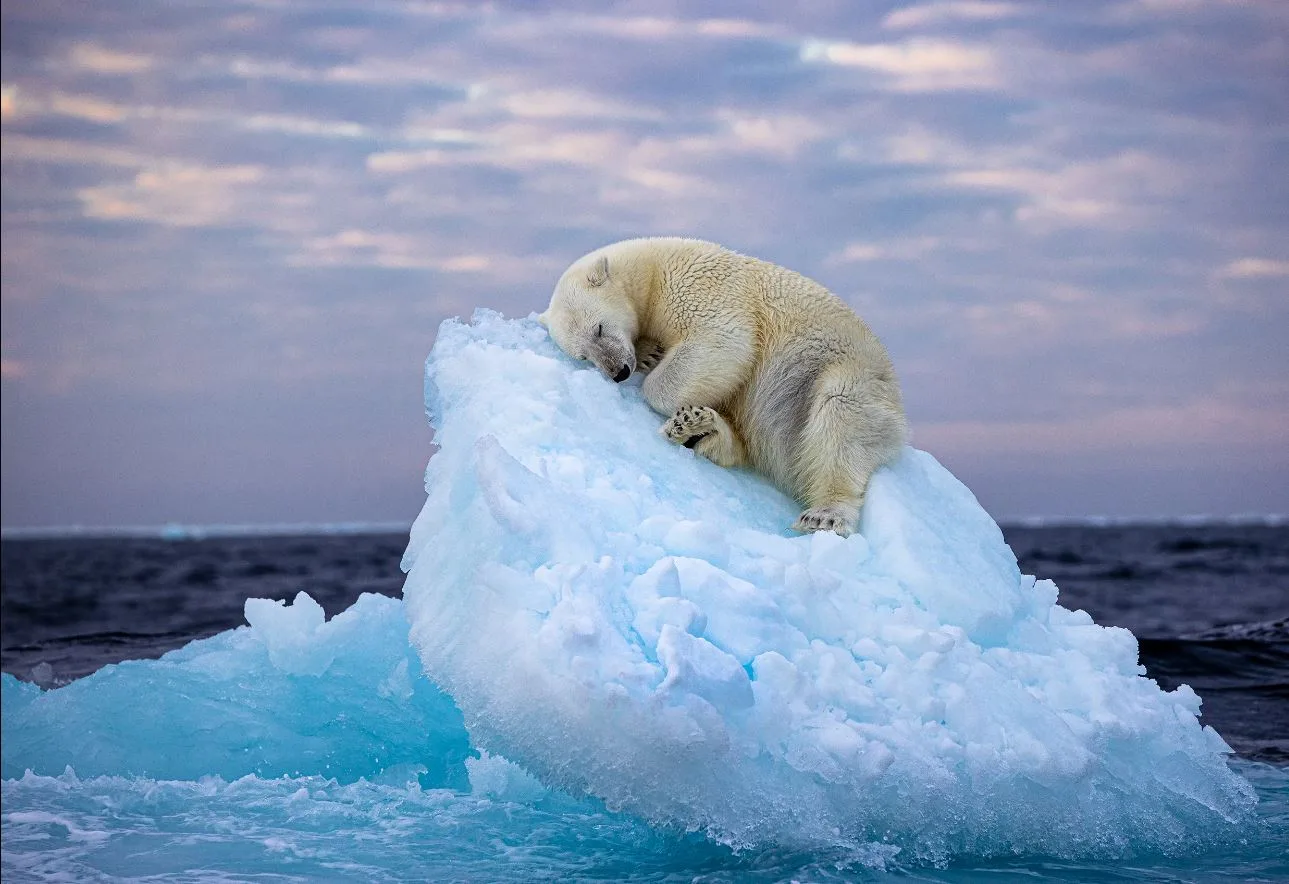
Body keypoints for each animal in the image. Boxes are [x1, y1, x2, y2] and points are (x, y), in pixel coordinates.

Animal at [533, 238, 907, 536]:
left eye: (598, 328)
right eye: (583, 356)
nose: (619, 372)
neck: (651, 270)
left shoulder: (699, 286)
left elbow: (723, 341)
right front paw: (650, 354)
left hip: (843, 374)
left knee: (840, 418)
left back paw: (825, 515)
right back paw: (698, 429)